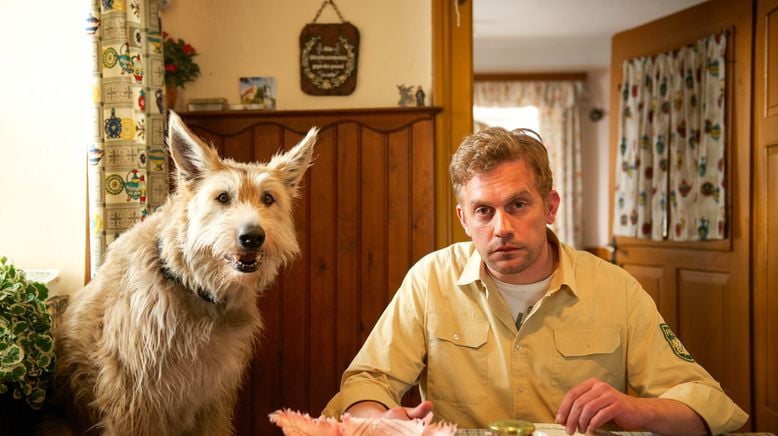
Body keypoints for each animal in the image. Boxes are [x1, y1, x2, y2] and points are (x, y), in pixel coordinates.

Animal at [53, 113, 316, 436]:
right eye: (223, 198)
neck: (191, 287)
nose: (253, 237)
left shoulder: (213, 396)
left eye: (268, 199)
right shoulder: (132, 400)